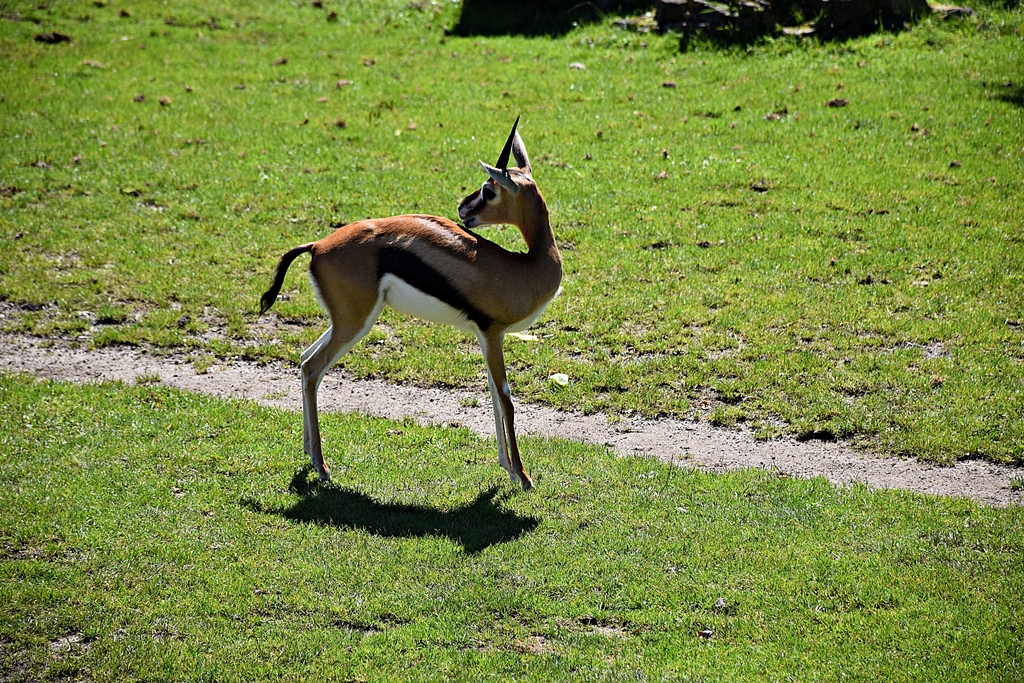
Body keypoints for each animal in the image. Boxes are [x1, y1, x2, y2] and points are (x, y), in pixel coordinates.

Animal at [259, 117, 561, 490]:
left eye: (489, 192)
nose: (462, 208)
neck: (526, 267)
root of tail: (316, 245)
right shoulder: (493, 334)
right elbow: (506, 398)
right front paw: (523, 476)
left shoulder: (487, 337)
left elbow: (493, 392)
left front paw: (507, 467)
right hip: (355, 323)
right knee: (314, 368)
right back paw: (322, 467)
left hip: (346, 321)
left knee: (303, 360)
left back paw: (307, 452)